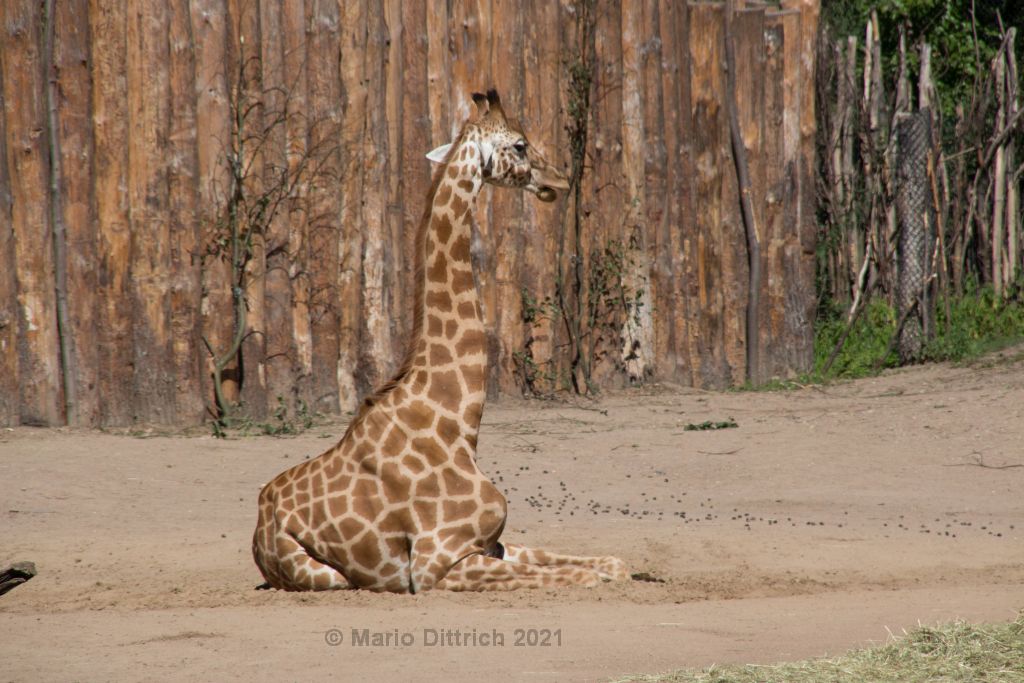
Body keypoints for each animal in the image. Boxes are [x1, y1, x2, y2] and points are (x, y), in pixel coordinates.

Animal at [251, 90, 626, 593]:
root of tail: (258, 526)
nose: (560, 180)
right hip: (329, 576)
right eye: (520, 144)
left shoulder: (493, 544)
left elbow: (610, 564)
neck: (456, 422)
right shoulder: (436, 562)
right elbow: (585, 576)